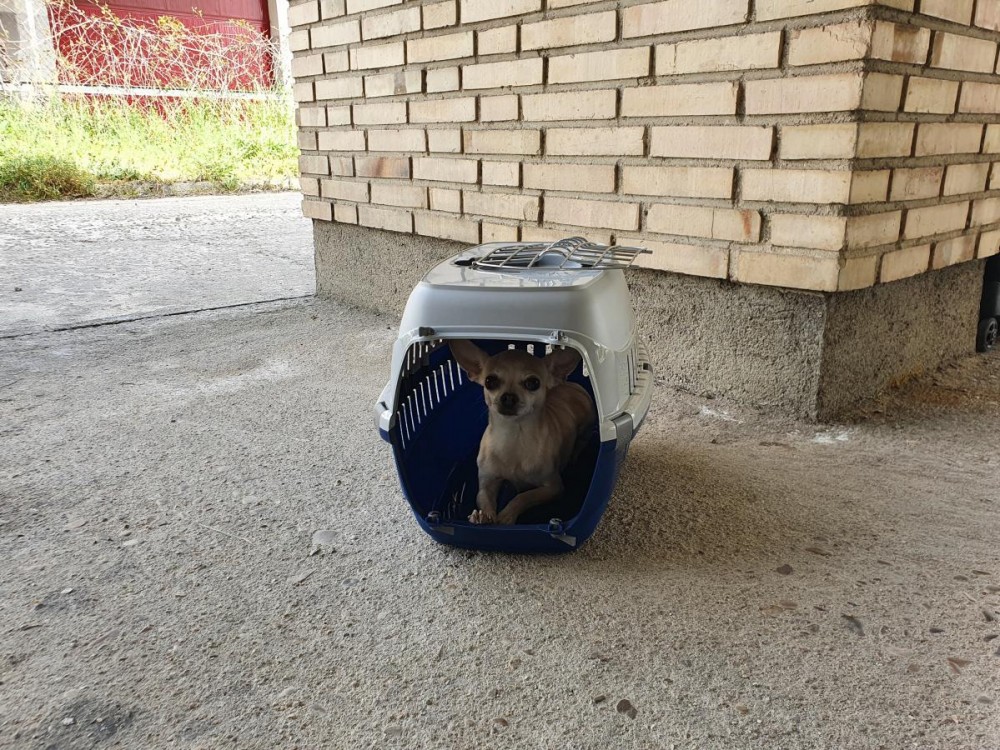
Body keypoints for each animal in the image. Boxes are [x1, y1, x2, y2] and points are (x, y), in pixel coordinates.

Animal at [448, 340, 595, 525]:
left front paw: (506, 515)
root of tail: (572, 384)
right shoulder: (486, 484)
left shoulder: (553, 488)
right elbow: (485, 500)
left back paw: (574, 457)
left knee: (580, 443)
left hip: (586, 429)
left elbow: (524, 497)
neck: (512, 435)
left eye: (533, 383)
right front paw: (483, 516)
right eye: (490, 381)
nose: (508, 397)